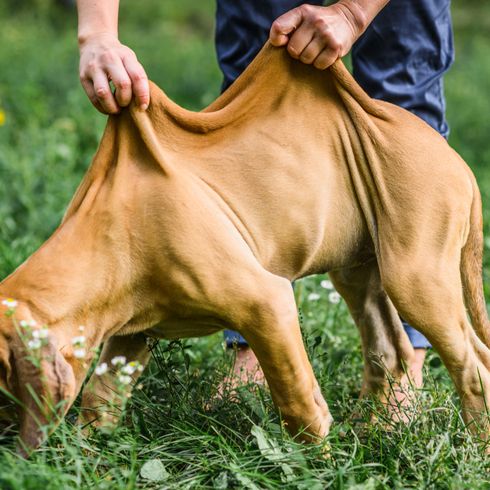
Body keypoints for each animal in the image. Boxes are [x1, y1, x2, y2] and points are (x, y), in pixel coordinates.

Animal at [0, 43, 490, 456]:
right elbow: (100, 400)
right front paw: (88, 461)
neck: (111, 227)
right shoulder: (129, 333)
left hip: (415, 276)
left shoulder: (267, 305)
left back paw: (474, 450)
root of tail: (458, 164)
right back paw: (371, 431)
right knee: (392, 350)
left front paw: (318, 468)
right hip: (362, 271)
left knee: (474, 367)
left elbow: (298, 403)